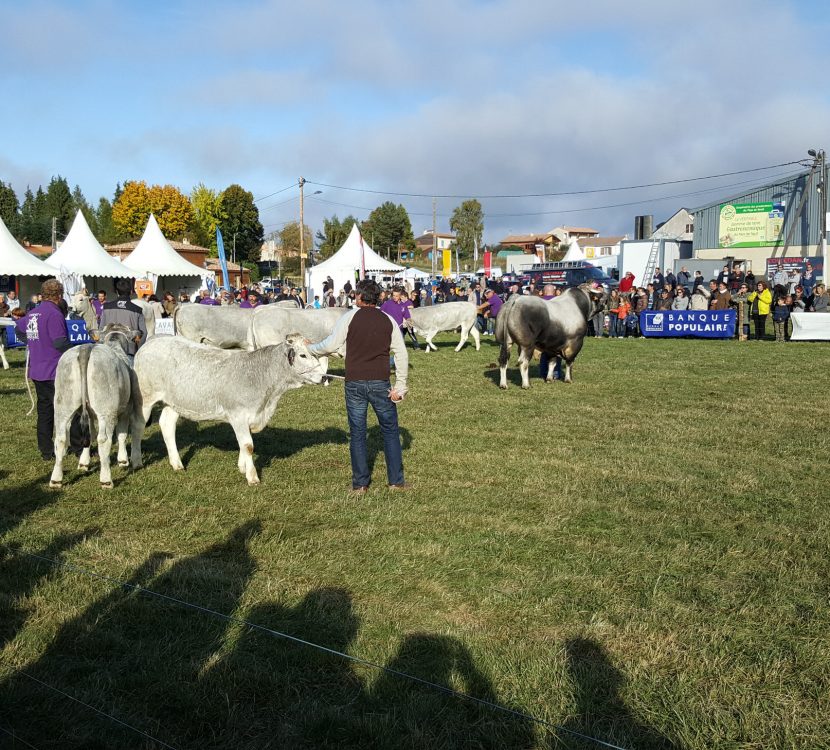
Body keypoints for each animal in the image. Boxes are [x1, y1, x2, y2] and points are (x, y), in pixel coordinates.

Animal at [135, 334, 326, 488]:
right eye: (302, 355)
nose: (324, 376)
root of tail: (152, 341)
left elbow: (244, 443)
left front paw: (242, 467)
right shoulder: (238, 414)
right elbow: (248, 445)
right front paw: (252, 477)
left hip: (175, 402)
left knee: (167, 425)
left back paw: (177, 464)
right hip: (145, 398)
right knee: (138, 427)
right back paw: (135, 462)